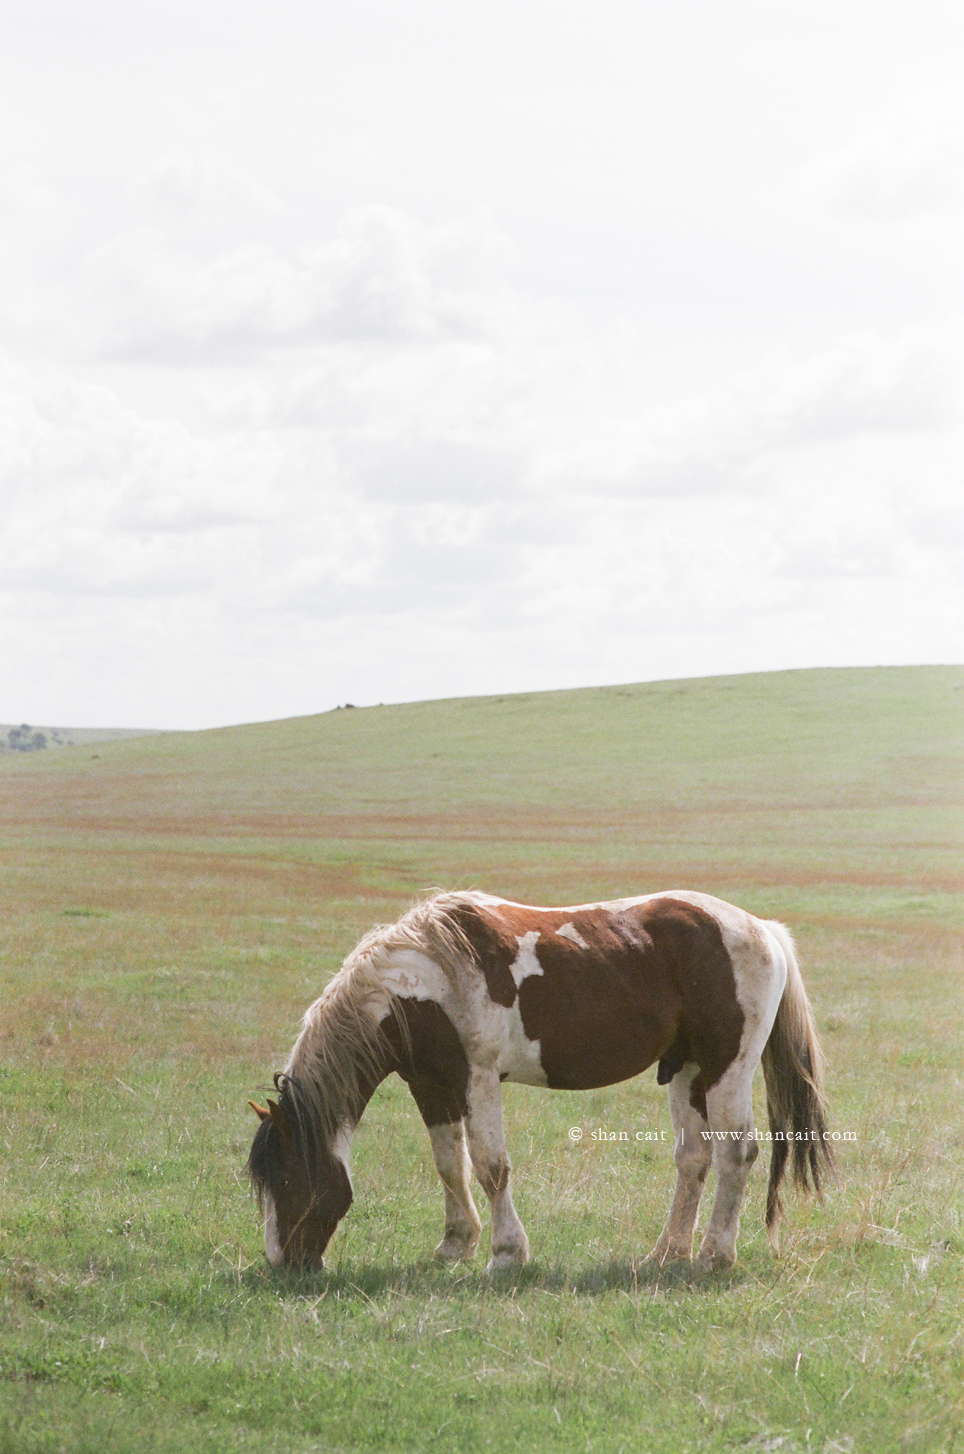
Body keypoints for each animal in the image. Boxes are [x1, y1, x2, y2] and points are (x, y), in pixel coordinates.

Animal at [245, 884, 831, 1273]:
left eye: (289, 1178)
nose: (283, 1263)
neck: (424, 985)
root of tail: (764, 930)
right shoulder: (430, 1087)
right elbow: (449, 1165)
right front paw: (456, 1244)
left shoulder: (477, 1080)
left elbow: (491, 1167)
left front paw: (506, 1254)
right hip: (688, 1070)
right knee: (694, 1159)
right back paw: (667, 1253)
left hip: (726, 1068)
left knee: (737, 1153)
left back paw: (714, 1255)